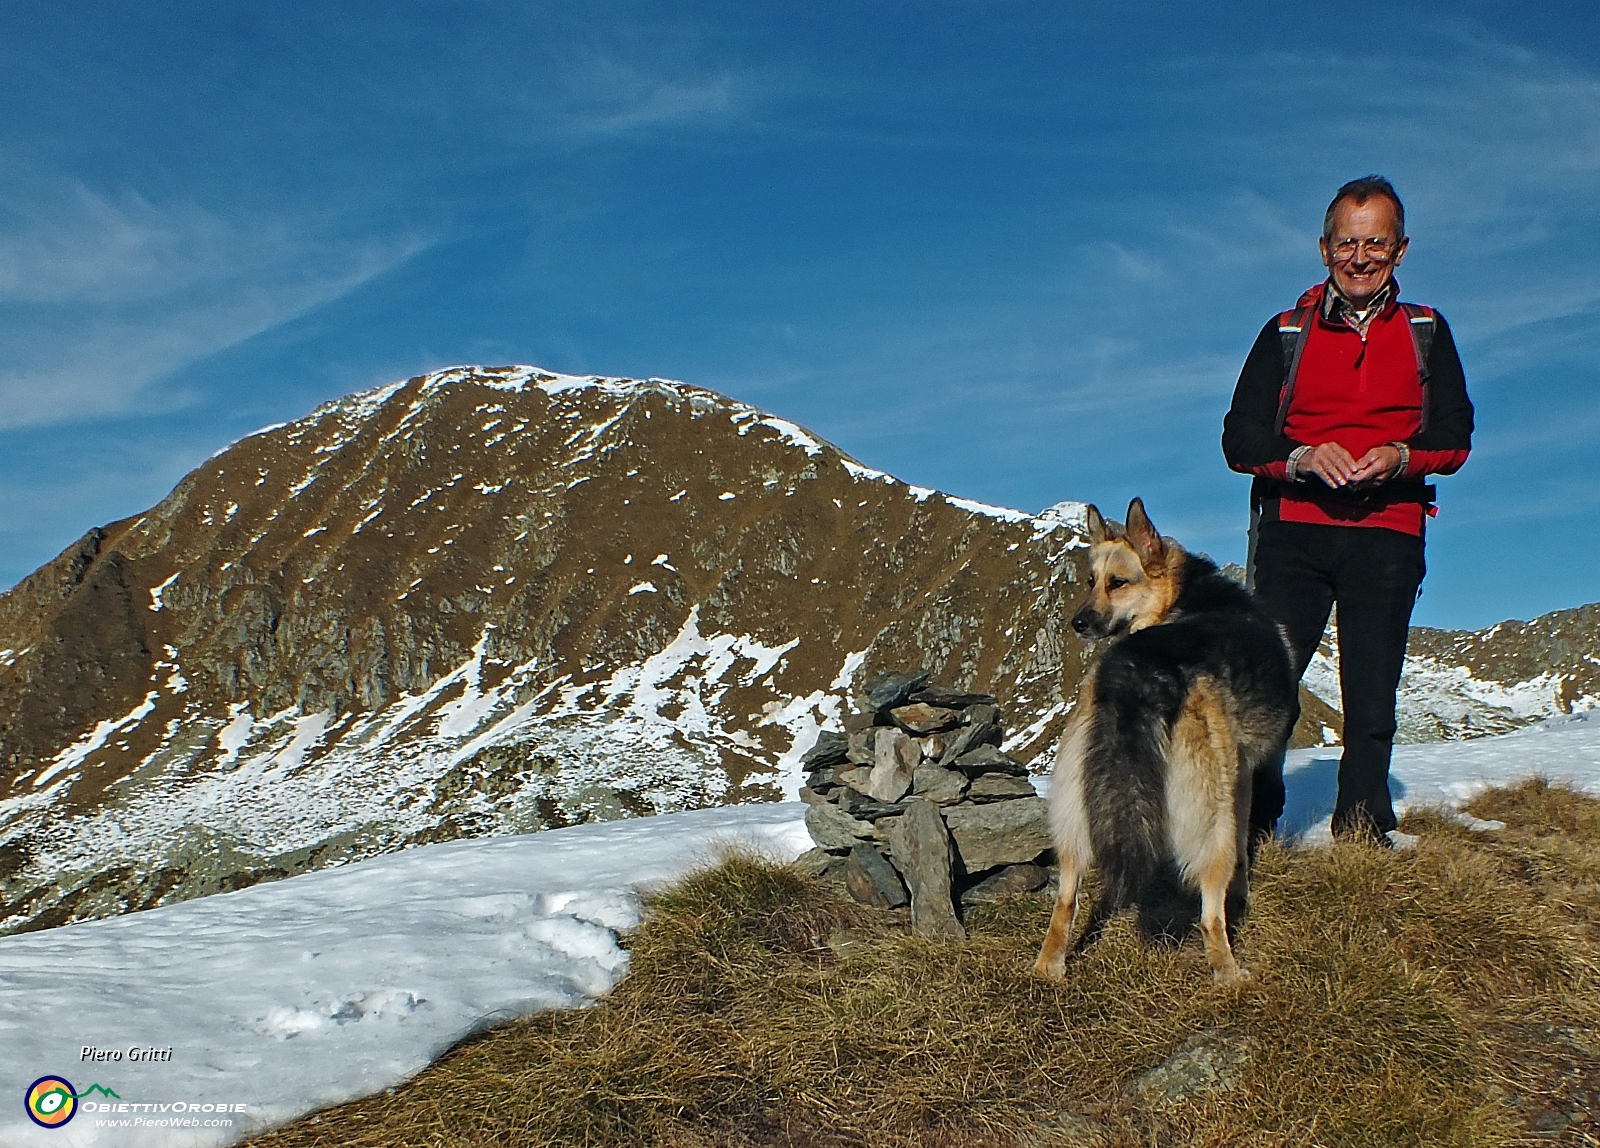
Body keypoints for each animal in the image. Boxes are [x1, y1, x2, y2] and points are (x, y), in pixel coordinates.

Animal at [1030, 498, 1292, 984]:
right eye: (1092, 581)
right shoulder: (1241, 775)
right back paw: (1229, 973)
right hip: (1212, 818)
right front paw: (1244, 895)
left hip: (1074, 807)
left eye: (1114, 582)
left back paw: (1048, 967)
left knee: (1065, 900)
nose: (1078, 623)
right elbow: (1243, 855)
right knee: (1210, 913)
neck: (1184, 596)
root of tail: (1140, 666)